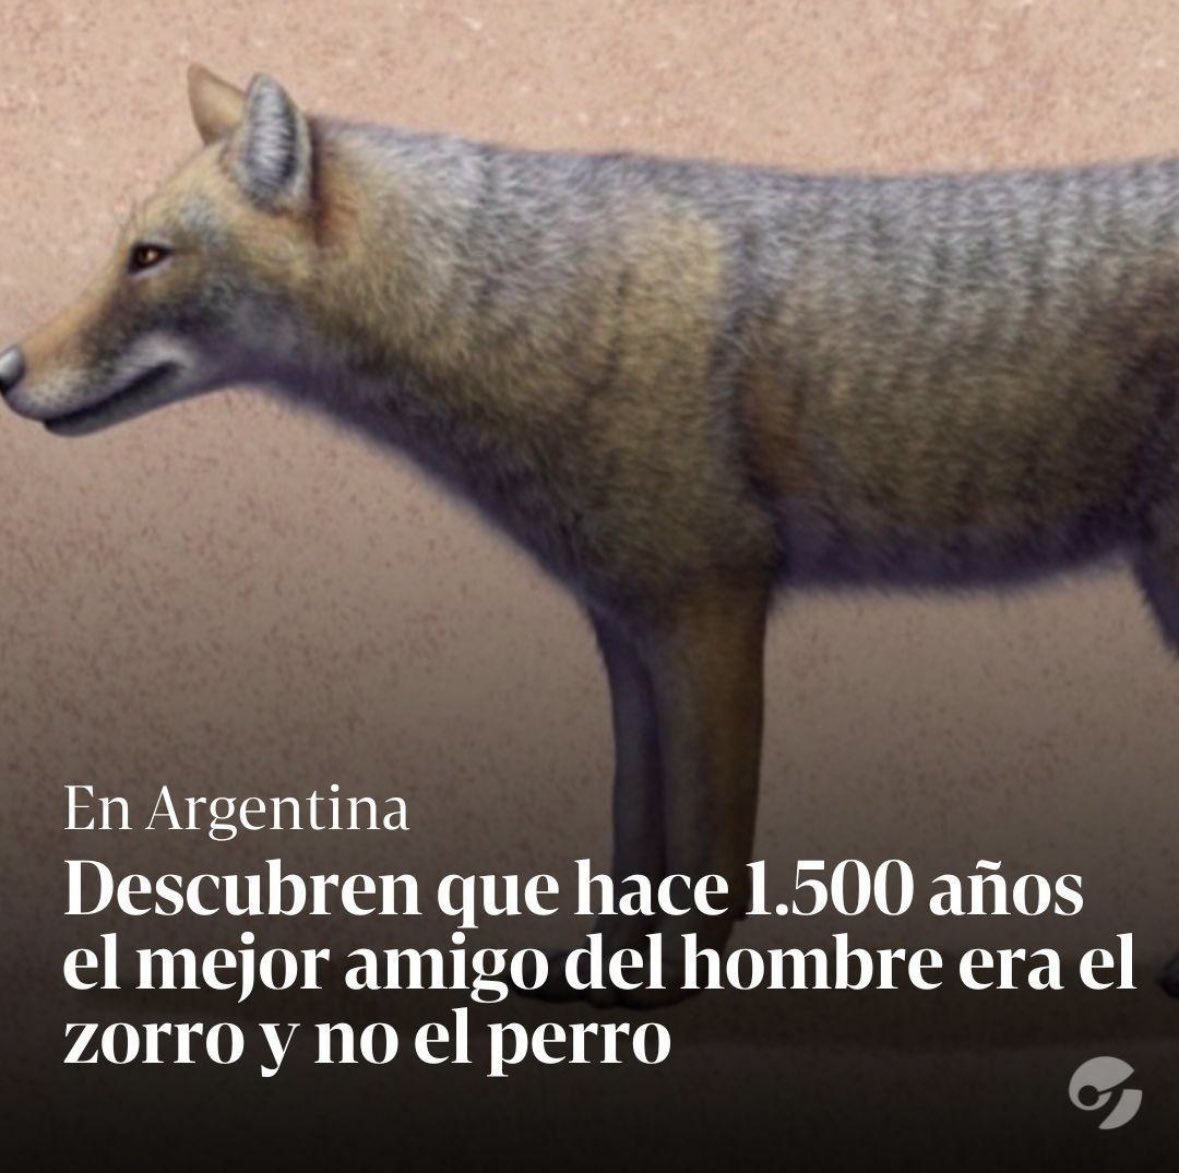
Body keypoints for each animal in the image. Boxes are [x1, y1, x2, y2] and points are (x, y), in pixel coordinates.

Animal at [4, 66, 1179, 1005]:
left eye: (148, 257)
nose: (8, 368)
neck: (529, 307)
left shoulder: (708, 607)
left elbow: (706, 843)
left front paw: (666, 983)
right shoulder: (626, 623)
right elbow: (633, 826)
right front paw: (612, 963)